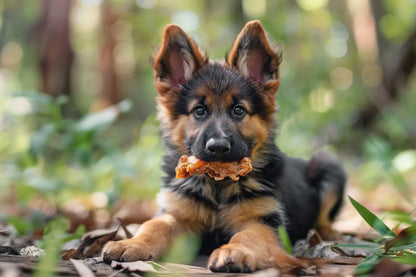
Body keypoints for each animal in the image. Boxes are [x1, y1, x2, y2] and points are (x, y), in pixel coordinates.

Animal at [102, 20, 346, 270]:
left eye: (238, 110)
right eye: (199, 111)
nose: (218, 147)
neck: (217, 185)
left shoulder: (263, 220)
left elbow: (248, 235)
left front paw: (234, 251)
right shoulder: (180, 216)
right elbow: (155, 225)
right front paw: (132, 243)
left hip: (328, 164)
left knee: (324, 217)